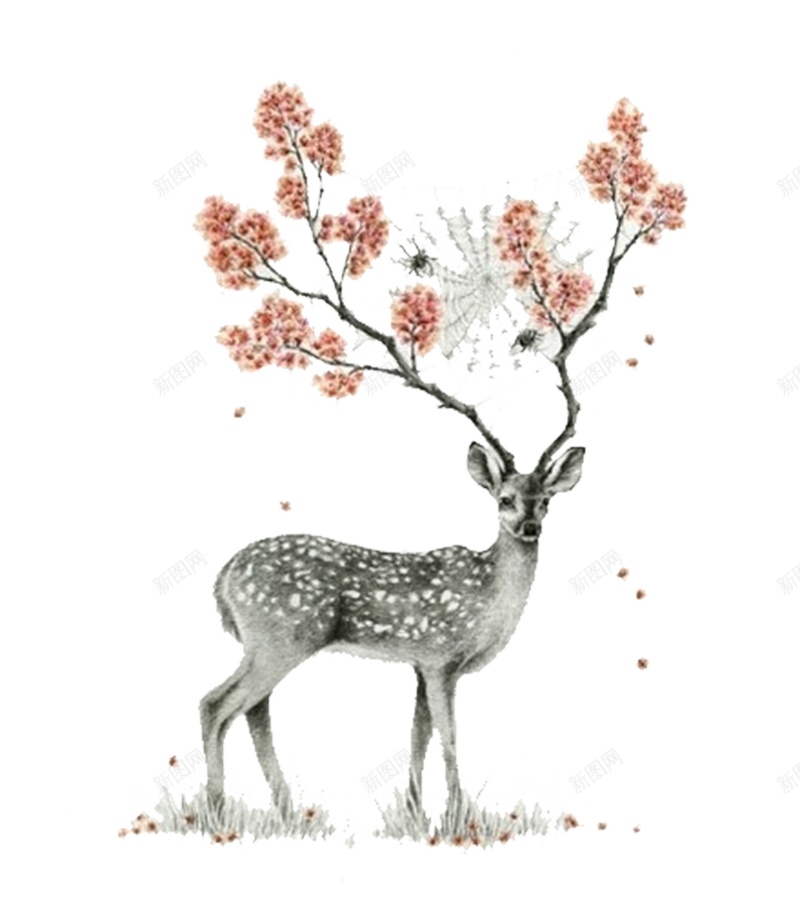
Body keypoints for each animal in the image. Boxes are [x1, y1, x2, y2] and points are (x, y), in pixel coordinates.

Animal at [193, 85, 686, 824]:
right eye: (504, 498)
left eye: (546, 500)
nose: (528, 525)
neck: (488, 602)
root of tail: (224, 580)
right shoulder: (438, 653)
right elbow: (449, 737)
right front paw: (458, 819)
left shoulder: (422, 664)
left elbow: (419, 736)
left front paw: (420, 815)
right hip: (282, 634)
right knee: (217, 703)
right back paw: (221, 811)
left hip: (273, 642)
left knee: (251, 711)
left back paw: (284, 811)